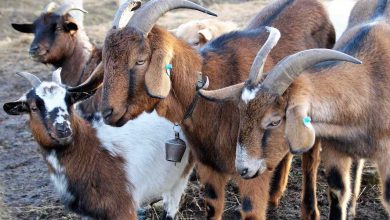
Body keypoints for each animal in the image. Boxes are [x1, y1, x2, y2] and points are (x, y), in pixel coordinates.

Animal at [71, 0, 336, 218]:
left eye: (140, 60)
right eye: (106, 60)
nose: (107, 112)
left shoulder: (252, 170)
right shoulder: (209, 166)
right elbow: (212, 207)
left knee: (311, 159)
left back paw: (309, 211)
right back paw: (275, 196)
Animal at [200, 0, 390, 218]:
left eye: (275, 120)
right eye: (241, 114)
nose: (243, 169)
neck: (369, 82)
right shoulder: (335, 151)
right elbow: (337, 192)